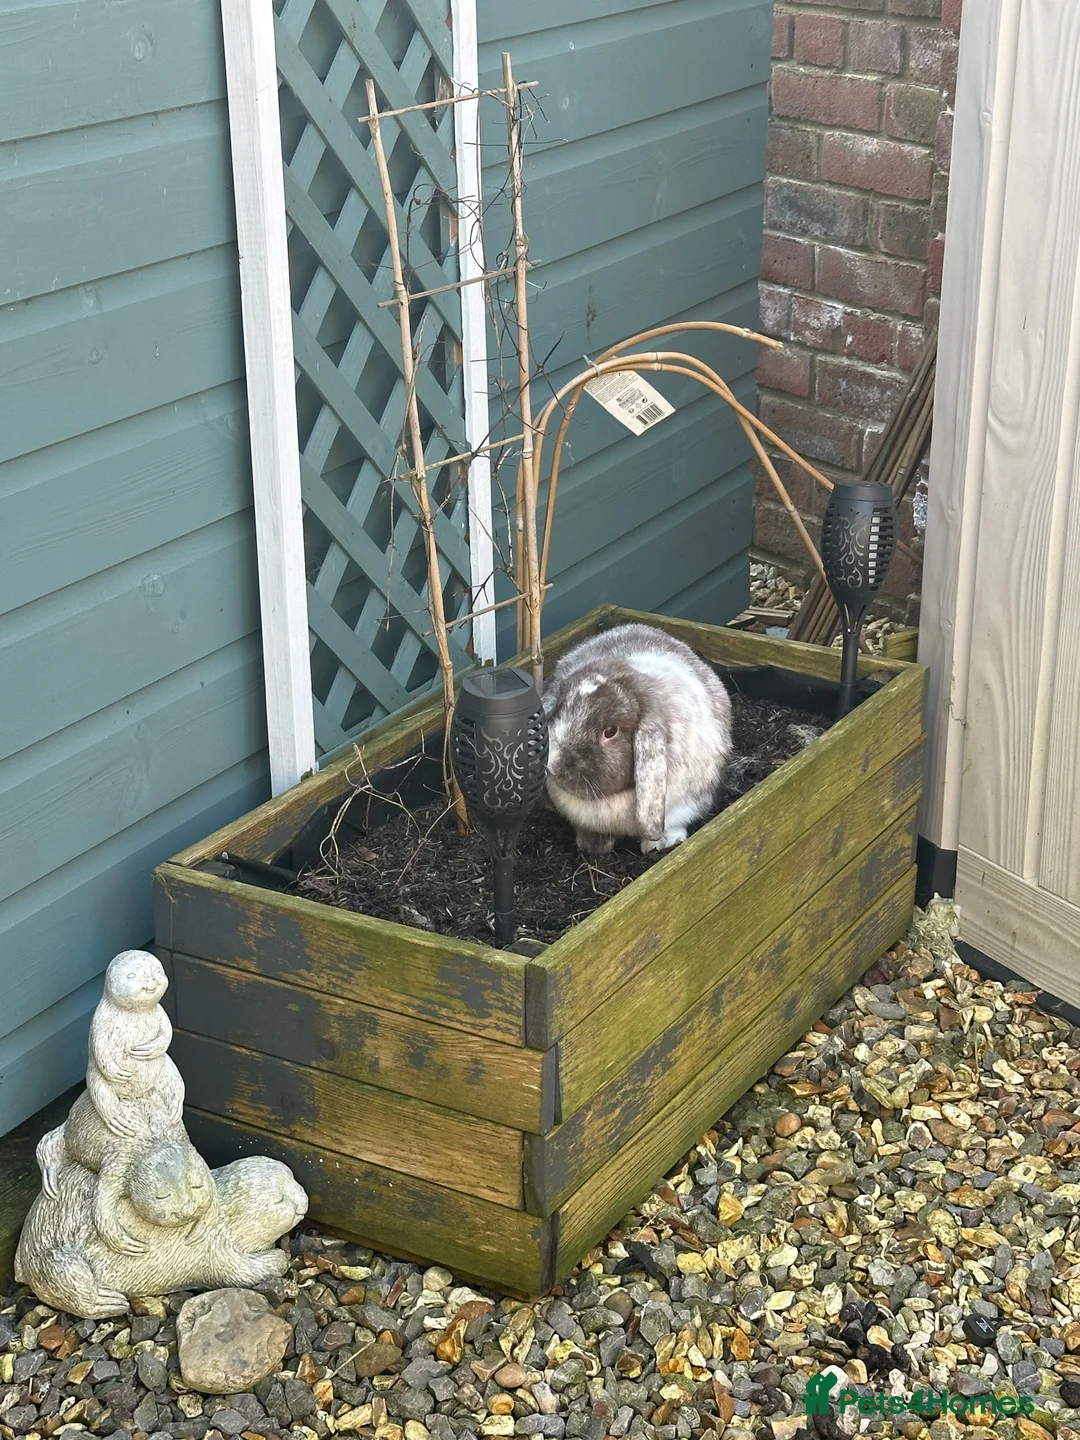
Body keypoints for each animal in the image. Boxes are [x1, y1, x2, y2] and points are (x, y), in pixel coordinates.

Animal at [542, 622, 733, 856]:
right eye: (558, 710)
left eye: (610, 731)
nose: (553, 766)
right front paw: (592, 846)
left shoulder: (682, 807)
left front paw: (659, 844)